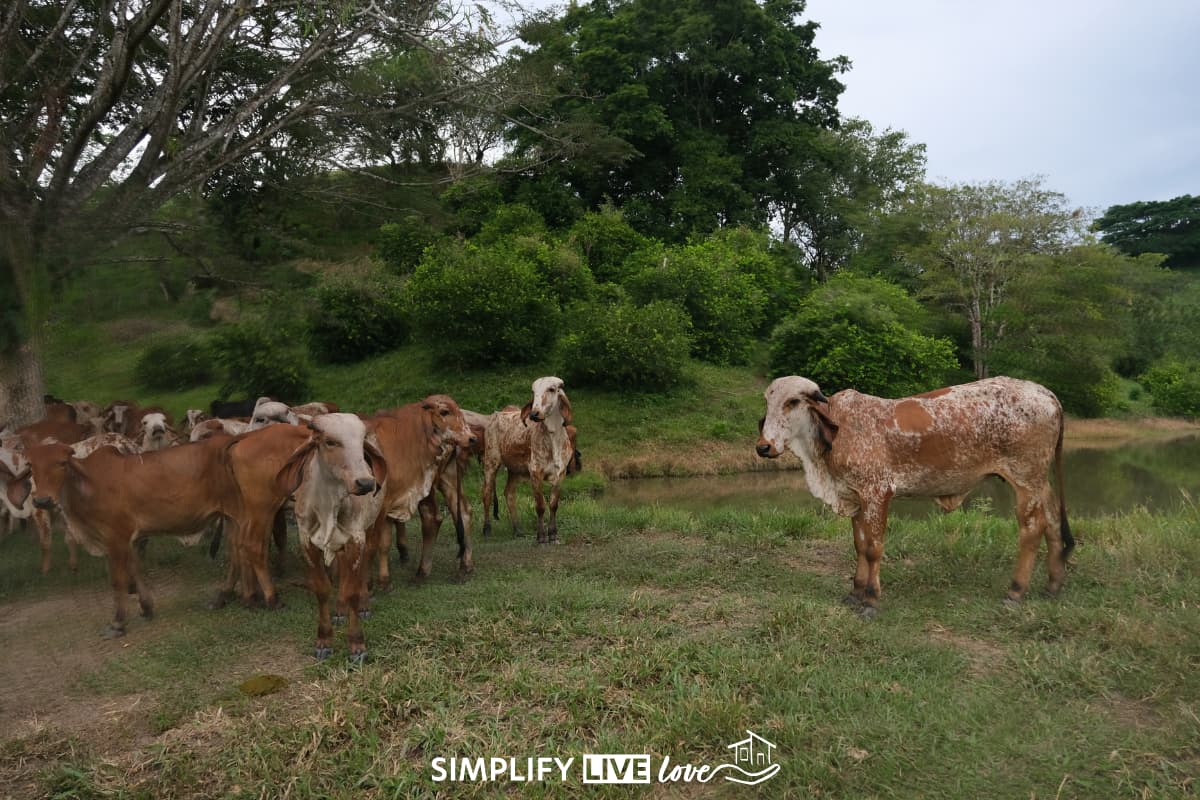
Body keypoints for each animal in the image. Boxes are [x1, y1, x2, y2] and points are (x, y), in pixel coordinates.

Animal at [481, 377, 575, 544]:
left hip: (514, 470)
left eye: (552, 389)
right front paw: (541, 537)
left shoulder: (561, 474)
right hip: (490, 462)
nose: (534, 414)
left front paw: (553, 535)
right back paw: (486, 530)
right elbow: (540, 506)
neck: (553, 438)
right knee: (487, 494)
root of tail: (496, 415)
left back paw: (518, 530)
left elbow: (553, 505)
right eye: (533, 391)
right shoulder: (535, 472)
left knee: (509, 493)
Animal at [756, 376, 1073, 617]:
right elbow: (859, 546)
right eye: (768, 403)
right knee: (1053, 521)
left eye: (792, 402)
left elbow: (873, 548)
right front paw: (855, 592)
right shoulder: (856, 496)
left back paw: (1015, 591)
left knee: (1032, 529)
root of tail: (1046, 393)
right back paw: (1052, 586)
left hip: (1025, 480)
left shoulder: (877, 493)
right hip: (1040, 482)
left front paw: (871, 599)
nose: (763, 446)